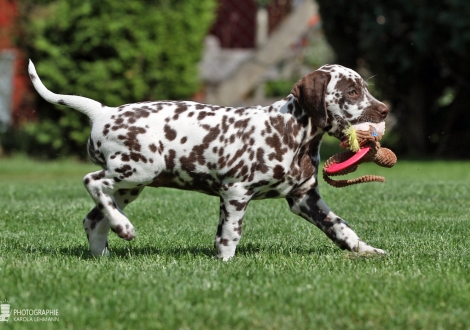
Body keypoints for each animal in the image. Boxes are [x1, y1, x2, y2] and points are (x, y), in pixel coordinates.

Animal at [28, 60, 390, 260]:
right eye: (352, 92)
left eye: (363, 88)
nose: (385, 110)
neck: (293, 131)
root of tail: (103, 111)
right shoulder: (236, 192)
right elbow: (229, 235)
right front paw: (226, 266)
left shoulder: (304, 198)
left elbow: (341, 227)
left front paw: (366, 251)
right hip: (138, 170)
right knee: (92, 182)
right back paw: (124, 227)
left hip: (130, 184)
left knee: (94, 219)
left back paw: (104, 252)